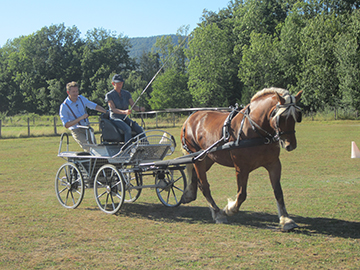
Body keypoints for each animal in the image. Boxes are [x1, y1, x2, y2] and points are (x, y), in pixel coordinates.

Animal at [181, 87, 302, 231]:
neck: (255, 131)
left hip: (207, 158)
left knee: (196, 178)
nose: (290, 145)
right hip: (198, 158)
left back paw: (189, 195)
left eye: (297, 115)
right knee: (204, 185)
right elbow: (242, 194)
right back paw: (218, 213)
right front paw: (229, 209)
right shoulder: (241, 168)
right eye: (281, 117)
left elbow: (278, 191)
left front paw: (286, 220)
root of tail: (190, 119)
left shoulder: (274, 164)